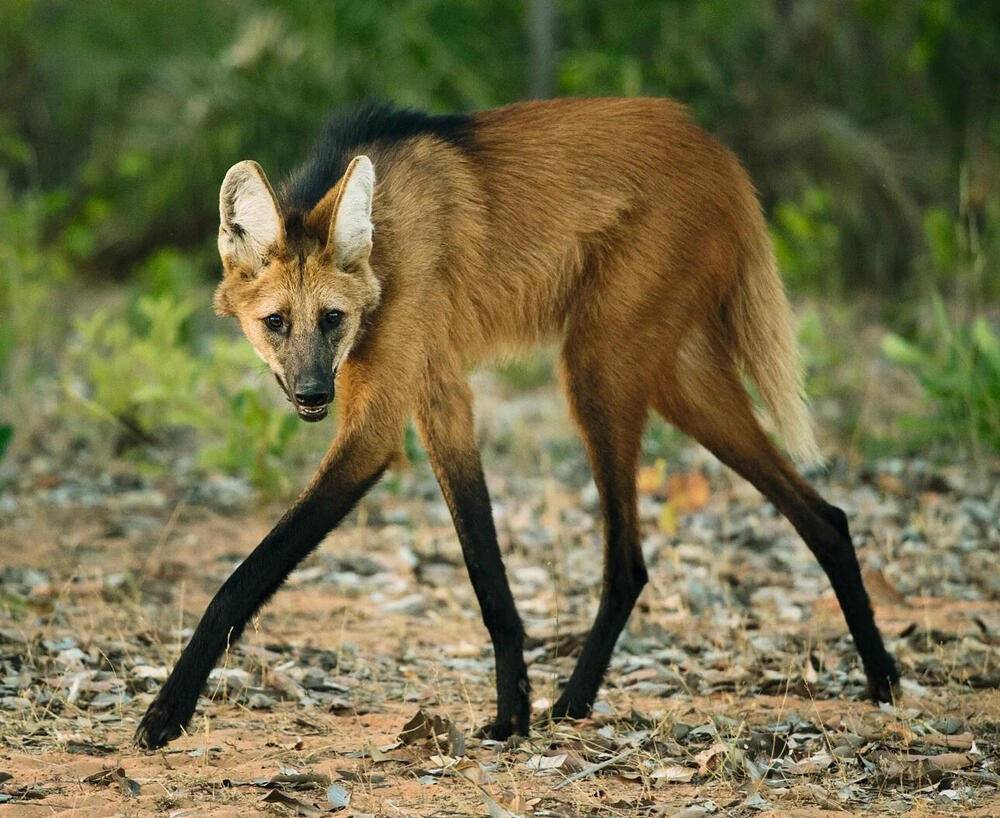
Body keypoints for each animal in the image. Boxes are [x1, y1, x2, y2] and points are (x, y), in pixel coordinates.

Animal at [135, 95, 900, 744]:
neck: (385, 241)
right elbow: (488, 572)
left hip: (597, 367)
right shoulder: (441, 396)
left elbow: (243, 577)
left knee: (628, 561)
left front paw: (166, 713)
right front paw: (513, 714)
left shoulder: (379, 425)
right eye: (276, 323)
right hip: (675, 377)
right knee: (824, 516)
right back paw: (883, 676)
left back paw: (576, 701)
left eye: (330, 320)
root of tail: (717, 150)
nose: (314, 393)